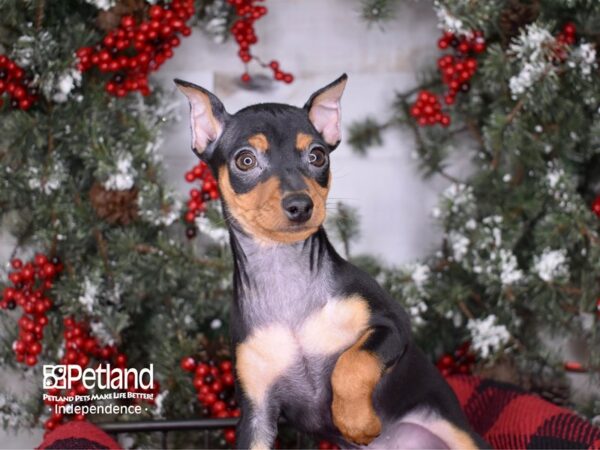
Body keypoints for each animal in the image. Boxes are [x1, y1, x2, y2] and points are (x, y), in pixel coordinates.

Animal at [175, 75, 488, 448]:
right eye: (246, 161)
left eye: (318, 155)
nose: (300, 205)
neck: (285, 277)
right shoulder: (256, 414)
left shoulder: (393, 324)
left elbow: (352, 362)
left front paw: (355, 420)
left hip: (460, 433)